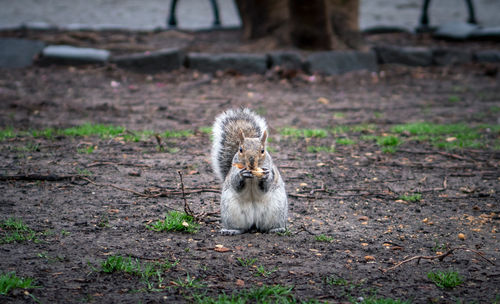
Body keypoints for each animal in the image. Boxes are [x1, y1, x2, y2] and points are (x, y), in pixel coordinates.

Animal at [210, 107, 288, 235]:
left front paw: (265, 177)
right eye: (240, 149)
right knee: (241, 228)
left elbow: (266, 185)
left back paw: (277, 229)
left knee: (268, 226)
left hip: (276, 211)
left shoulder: (270, 170)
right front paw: (242, 175)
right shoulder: (233, 172)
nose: (251, 161)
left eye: (262, 150)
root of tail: (254, 222)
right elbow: (236, 183)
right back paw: (231, 230)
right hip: (231, 213)